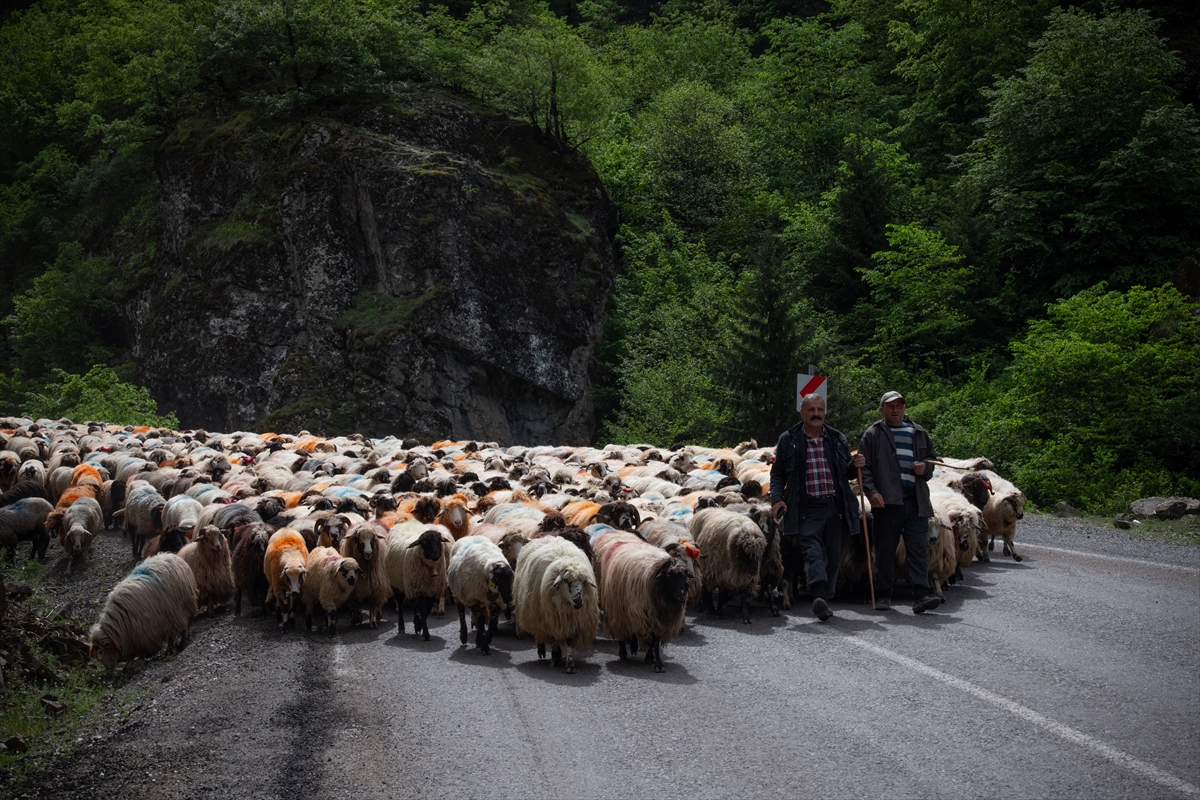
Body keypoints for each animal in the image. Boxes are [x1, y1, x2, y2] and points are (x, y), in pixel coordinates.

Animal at [511, 534, 600, 671]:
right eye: (566, 581)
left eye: (584, 582)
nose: (578, 601)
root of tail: (545, 537)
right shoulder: (550, 619)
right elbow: (553, 639)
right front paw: (555, 656)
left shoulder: (572, 621)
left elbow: (568, 641)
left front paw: (570, 664)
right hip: (535, 613)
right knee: (539, 633)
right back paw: (542, 648)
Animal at [595, 527, 691, 671]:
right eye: (669, 575)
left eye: (684, 576)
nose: (681, 596)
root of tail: (617, 532)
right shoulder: (644, 613)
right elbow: (650, 639)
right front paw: (655, 661)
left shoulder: (657, 618)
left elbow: (654, 641)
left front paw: (653, 659)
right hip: (618, 608)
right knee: (621, 629)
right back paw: (623, 651)